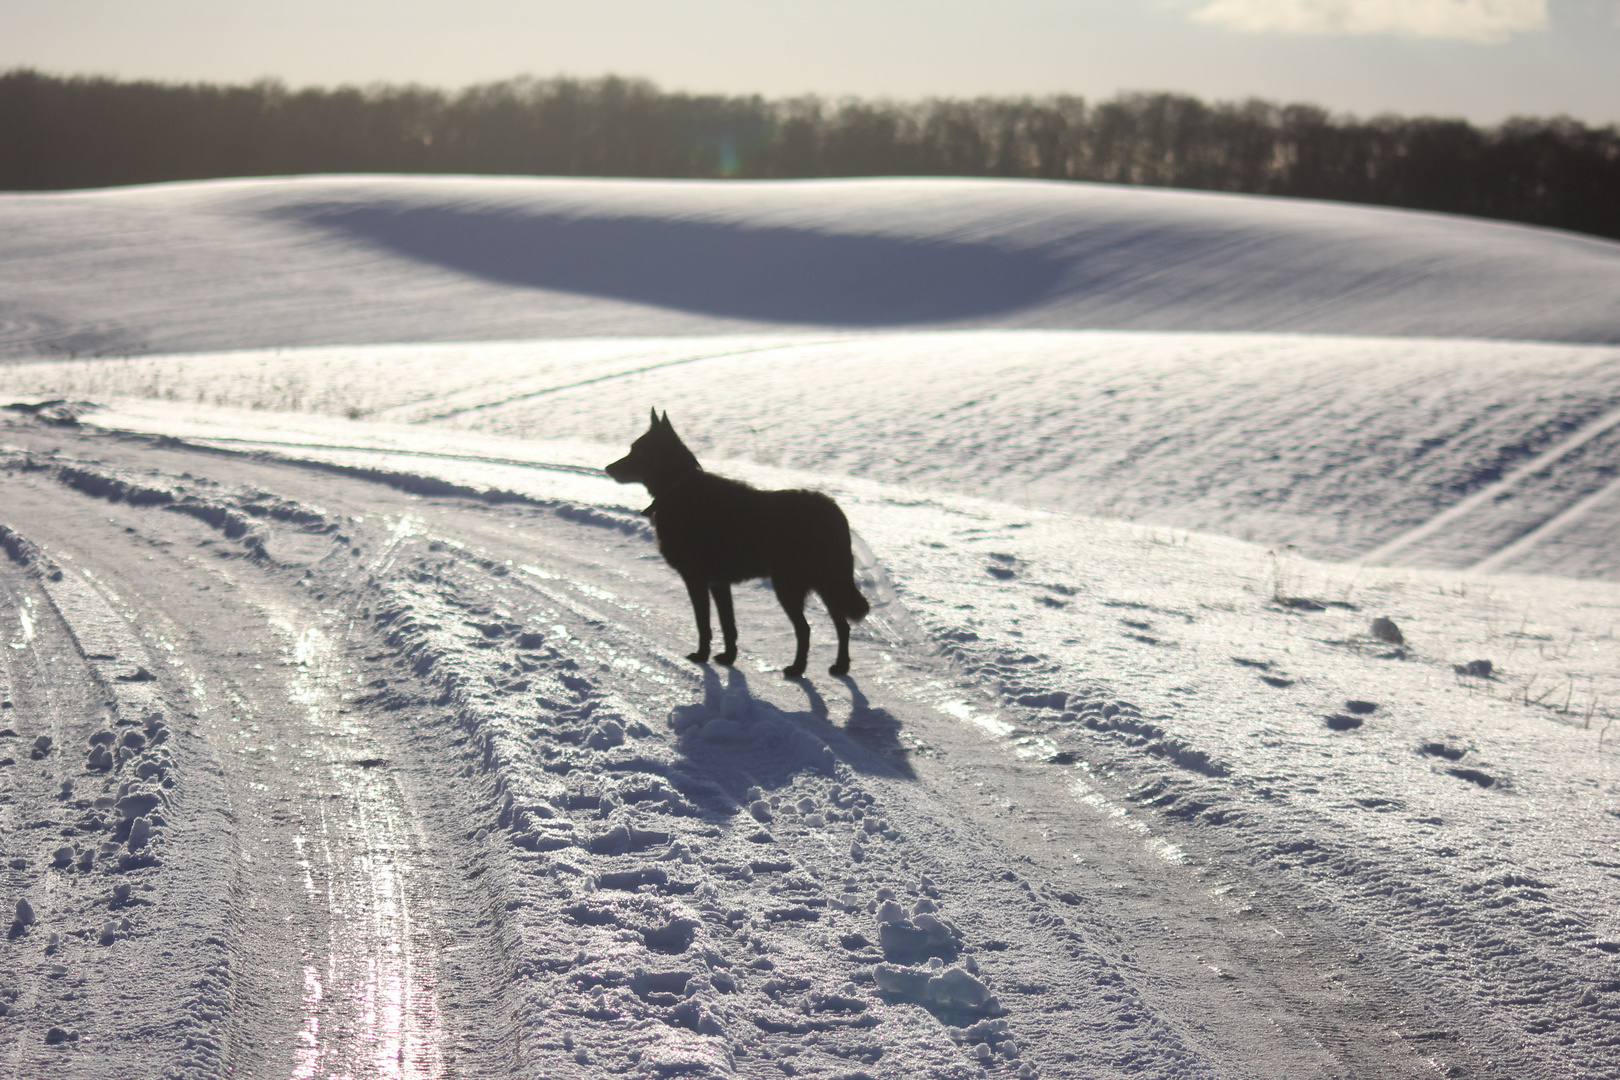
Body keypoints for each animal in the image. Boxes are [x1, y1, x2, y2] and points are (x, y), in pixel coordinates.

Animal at [605, 409, 868, 680]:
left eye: (639, 452)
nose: (607, 469)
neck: (678, 487)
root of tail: (835, 512)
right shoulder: (719, 584)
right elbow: (728, 624)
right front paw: (728, 658)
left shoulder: (696, 580)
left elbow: (704, 623)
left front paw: (701, 656)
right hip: (825, 584)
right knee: (843, 625)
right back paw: (840, 666)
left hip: (791, 586)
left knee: (806, 628)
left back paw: (797, 669)